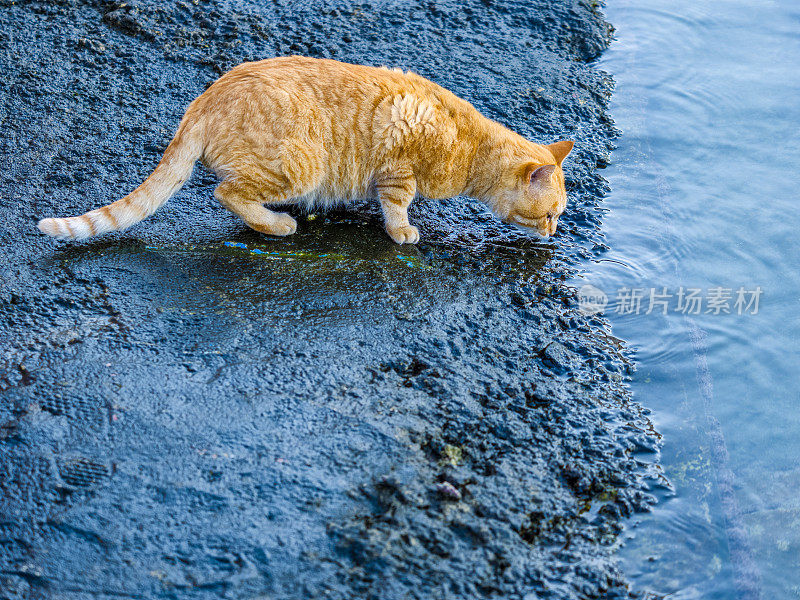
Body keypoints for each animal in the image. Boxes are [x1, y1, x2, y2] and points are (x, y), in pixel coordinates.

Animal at [39, 55, 576, 244]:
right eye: (551, 214)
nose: (555, 234)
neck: (471, 145)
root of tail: (201, 102)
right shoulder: (398, 167)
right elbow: (397, 205)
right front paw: (402, 230)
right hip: (301, 166)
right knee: (226, 193)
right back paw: (277, 224)